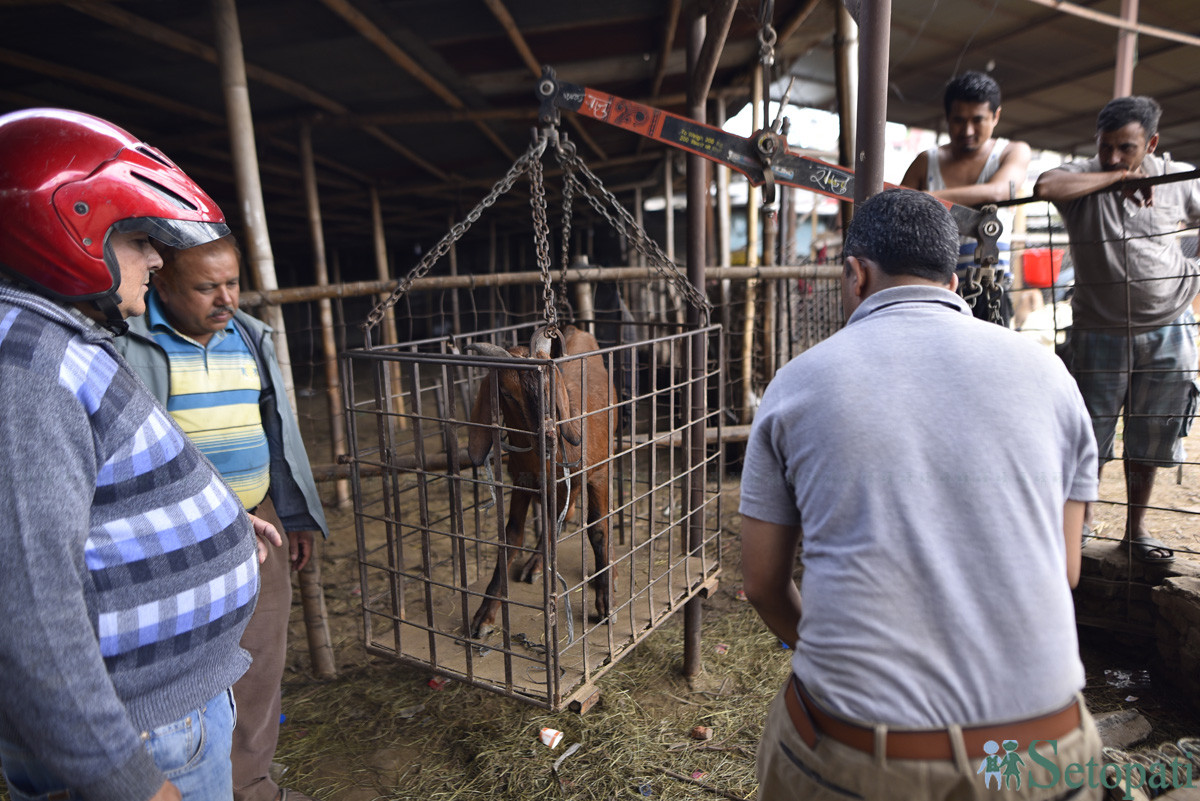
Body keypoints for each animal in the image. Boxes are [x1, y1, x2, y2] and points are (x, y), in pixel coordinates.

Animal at [465, 323, 614, 637]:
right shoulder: (521, 484)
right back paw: (536, 564)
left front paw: (606, 600)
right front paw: (485, 615)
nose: (549, 438)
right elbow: (512, 537)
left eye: (550, 385)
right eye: (506, 392)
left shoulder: (597, 475)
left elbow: (598, 530)